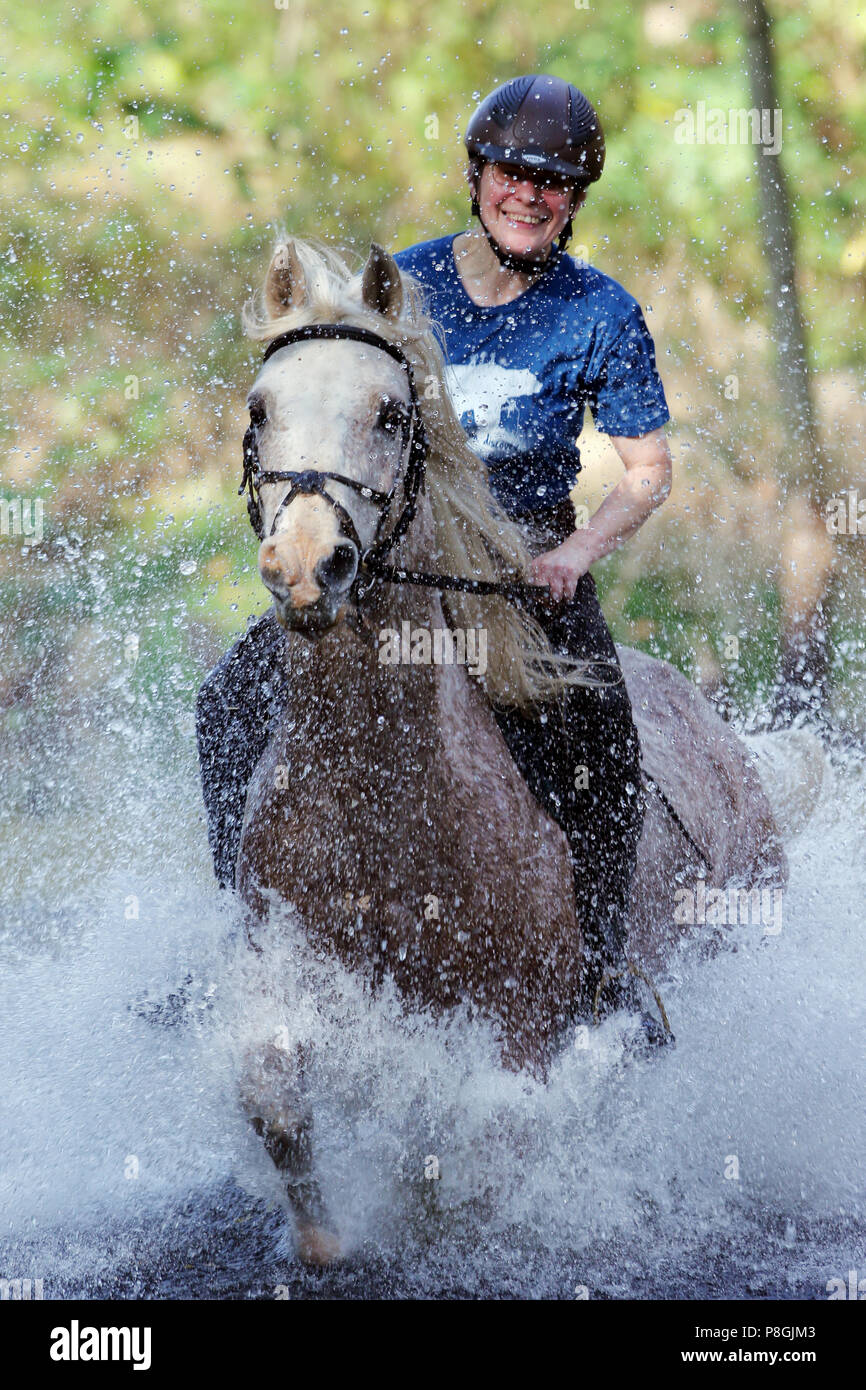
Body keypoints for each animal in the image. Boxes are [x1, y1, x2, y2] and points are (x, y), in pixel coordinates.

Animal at [226, 236, 789, 1262]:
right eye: (260, 410)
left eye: (390, 413)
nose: (309, 567)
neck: (379, 796)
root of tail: (726, 741)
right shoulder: (280, 967)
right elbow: (273, 1096)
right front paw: (323, 1240)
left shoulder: (520, 1025)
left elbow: (476, 1136)